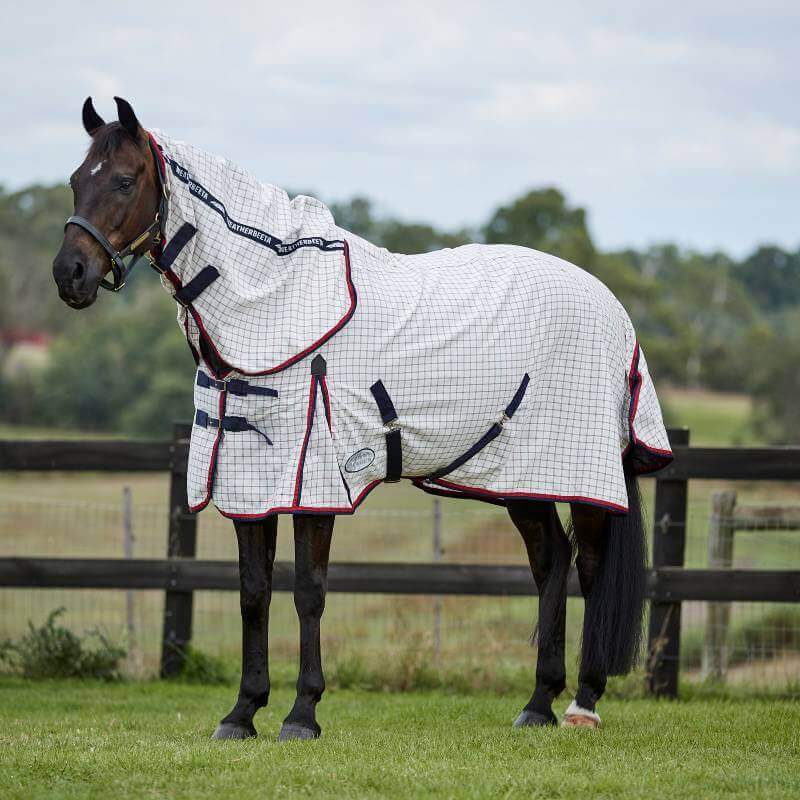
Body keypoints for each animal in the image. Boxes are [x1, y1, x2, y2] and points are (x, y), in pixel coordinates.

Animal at [52, 97, 672, 739]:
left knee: (592, 567)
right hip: (520, 476)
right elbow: (253, 593)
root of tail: (611, 306)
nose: (70, 274)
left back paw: (582, 704)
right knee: (551, 561)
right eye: (75, 181)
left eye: (125, 180)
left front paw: (302, 713)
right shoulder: (251, 478)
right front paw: (243, 712)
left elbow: (308, 593)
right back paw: (538, 703)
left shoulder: (312, 480)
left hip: (580, 472)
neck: (279, 305)